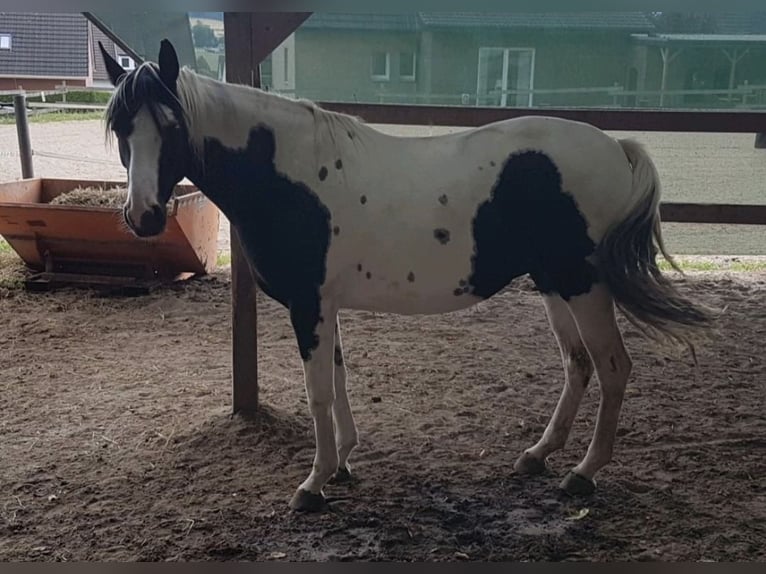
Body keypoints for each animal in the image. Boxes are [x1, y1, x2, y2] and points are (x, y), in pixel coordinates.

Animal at [99, 40, 712, 512]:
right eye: (122, 129)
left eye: (171, 125)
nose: (143, 217)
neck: (288, 177)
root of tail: (617, 147)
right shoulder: (325, 306)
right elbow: (339, 382)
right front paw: (343, 464)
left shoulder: (308, 306)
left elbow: (317, 393)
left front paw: (313, 485)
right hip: (554, 285)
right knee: (578, 364)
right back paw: (538, 457)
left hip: (584, 287)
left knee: (613, 368)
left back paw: (583, 473)